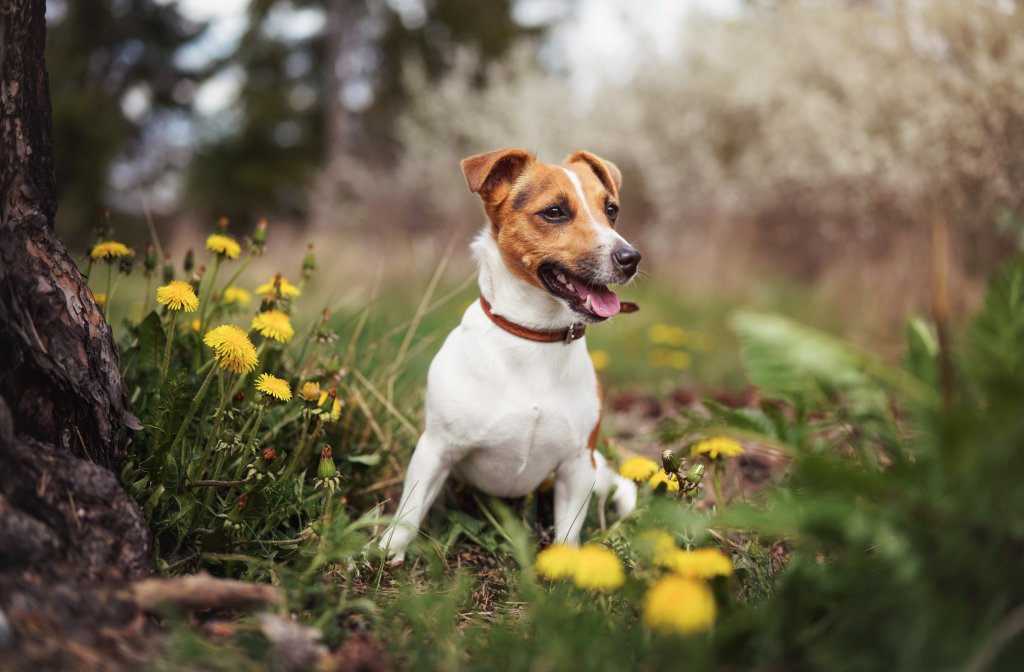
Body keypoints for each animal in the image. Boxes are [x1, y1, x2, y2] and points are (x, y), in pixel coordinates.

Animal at [380, 147, 643, 561]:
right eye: (555, 212)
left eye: (611, 210)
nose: (631, 257)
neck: (535, 336)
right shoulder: (435, 449)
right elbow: (409, 511)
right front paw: (384, 552)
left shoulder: (576, 467)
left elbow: (568, 534)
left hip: (596, 471)